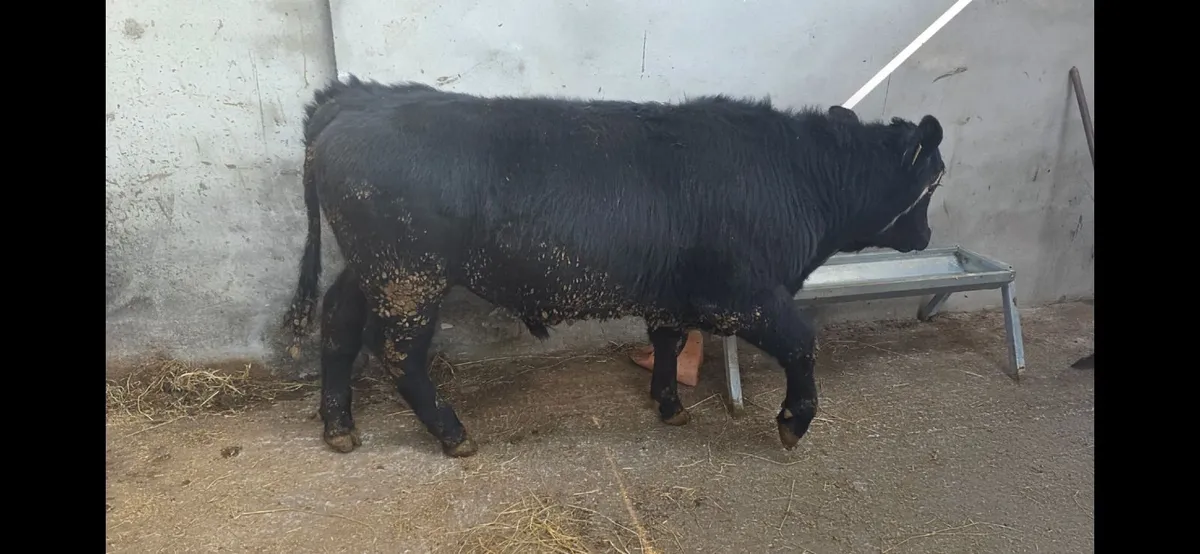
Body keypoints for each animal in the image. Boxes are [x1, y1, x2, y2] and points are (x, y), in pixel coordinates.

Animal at [283, 76, 946, 458]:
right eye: (935, 178)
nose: (925, 233)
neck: (799, 176)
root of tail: (355, 98)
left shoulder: (675, 293)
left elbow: (668, 340)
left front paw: (670, 406)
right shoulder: (742, 294)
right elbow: (802, 343)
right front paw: (793, 422)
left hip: (373, 269)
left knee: (338, 323)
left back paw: (337, 426)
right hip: (408, 277)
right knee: (397, 353)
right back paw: (453, 434)